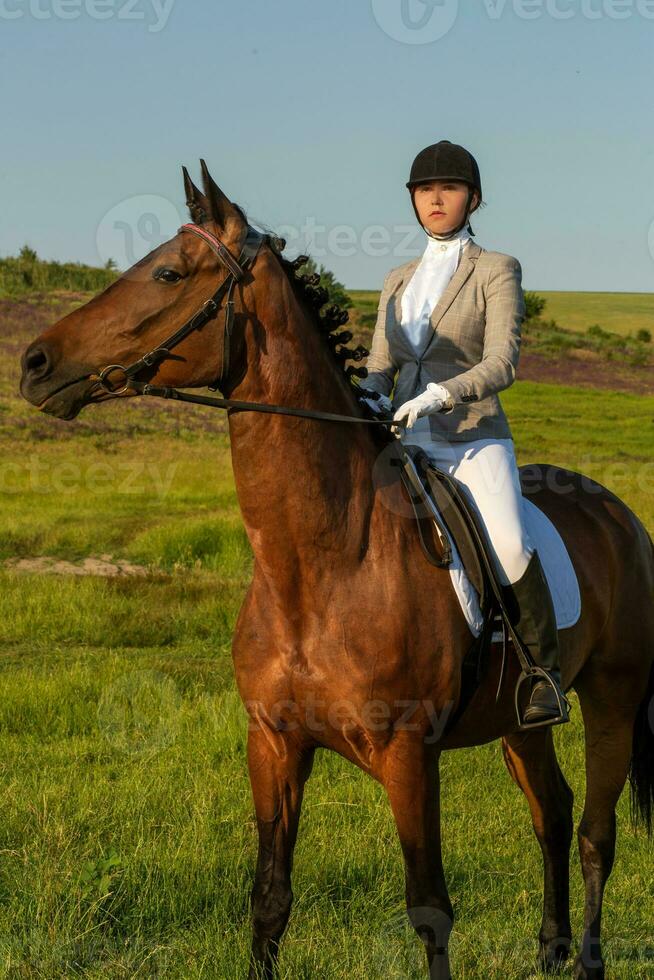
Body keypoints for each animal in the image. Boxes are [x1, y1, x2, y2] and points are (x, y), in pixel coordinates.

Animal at [18, 163, 652, 980]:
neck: (318, 566)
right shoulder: (273, 744)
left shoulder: (409, 756)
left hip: (612, 700)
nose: (33, 364)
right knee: (553, 809)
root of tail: (619, 515)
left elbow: (430, 910)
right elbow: (269, 901)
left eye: (166, 273)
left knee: (595, 835)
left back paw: (586, 959)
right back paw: (550, 951)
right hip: (523, 721)